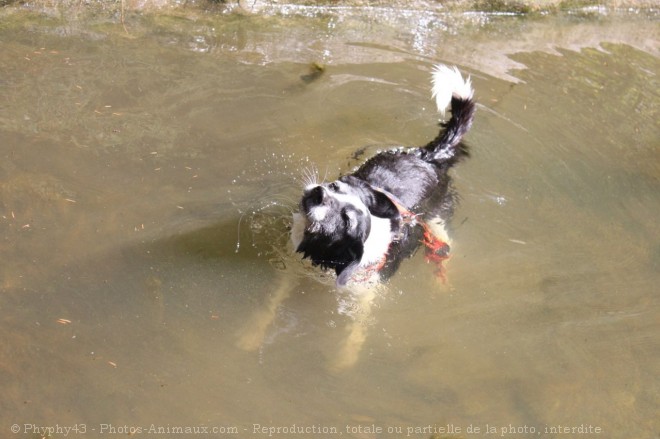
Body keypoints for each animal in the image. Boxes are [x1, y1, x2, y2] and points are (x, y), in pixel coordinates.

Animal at [290, 64, 474, 286]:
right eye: (334, 187)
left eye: (347, 220)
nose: (320, 192)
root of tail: (429, 157)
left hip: (438, 218)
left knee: (445, 244)